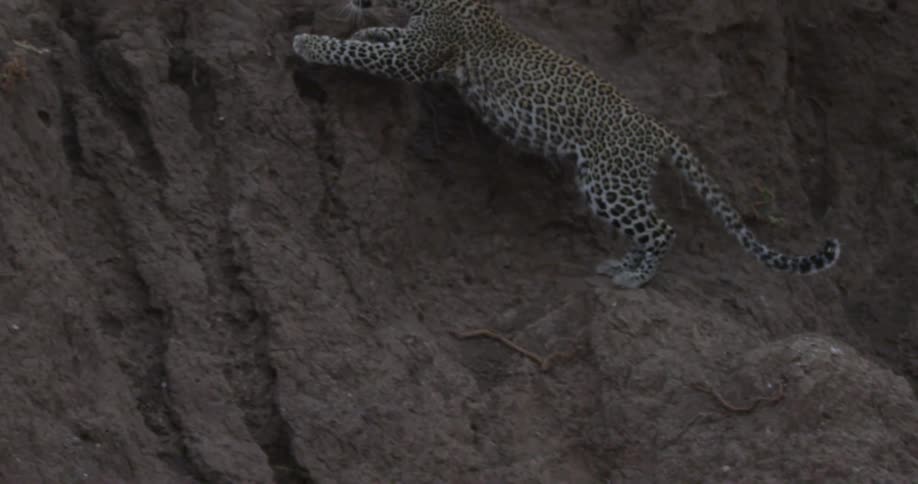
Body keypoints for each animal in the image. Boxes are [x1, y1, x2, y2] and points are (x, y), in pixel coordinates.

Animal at [292, 0, 841, 288]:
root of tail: (655, 129)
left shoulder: (416, 59)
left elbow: (360, 53)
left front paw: (309, 42)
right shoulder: (420, 53)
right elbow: (382, 36)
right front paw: (365, 27)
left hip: (608, 182)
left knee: (664, 229)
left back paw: (634, 279)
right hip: (618, 185)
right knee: (650, 230)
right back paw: (623, 265)